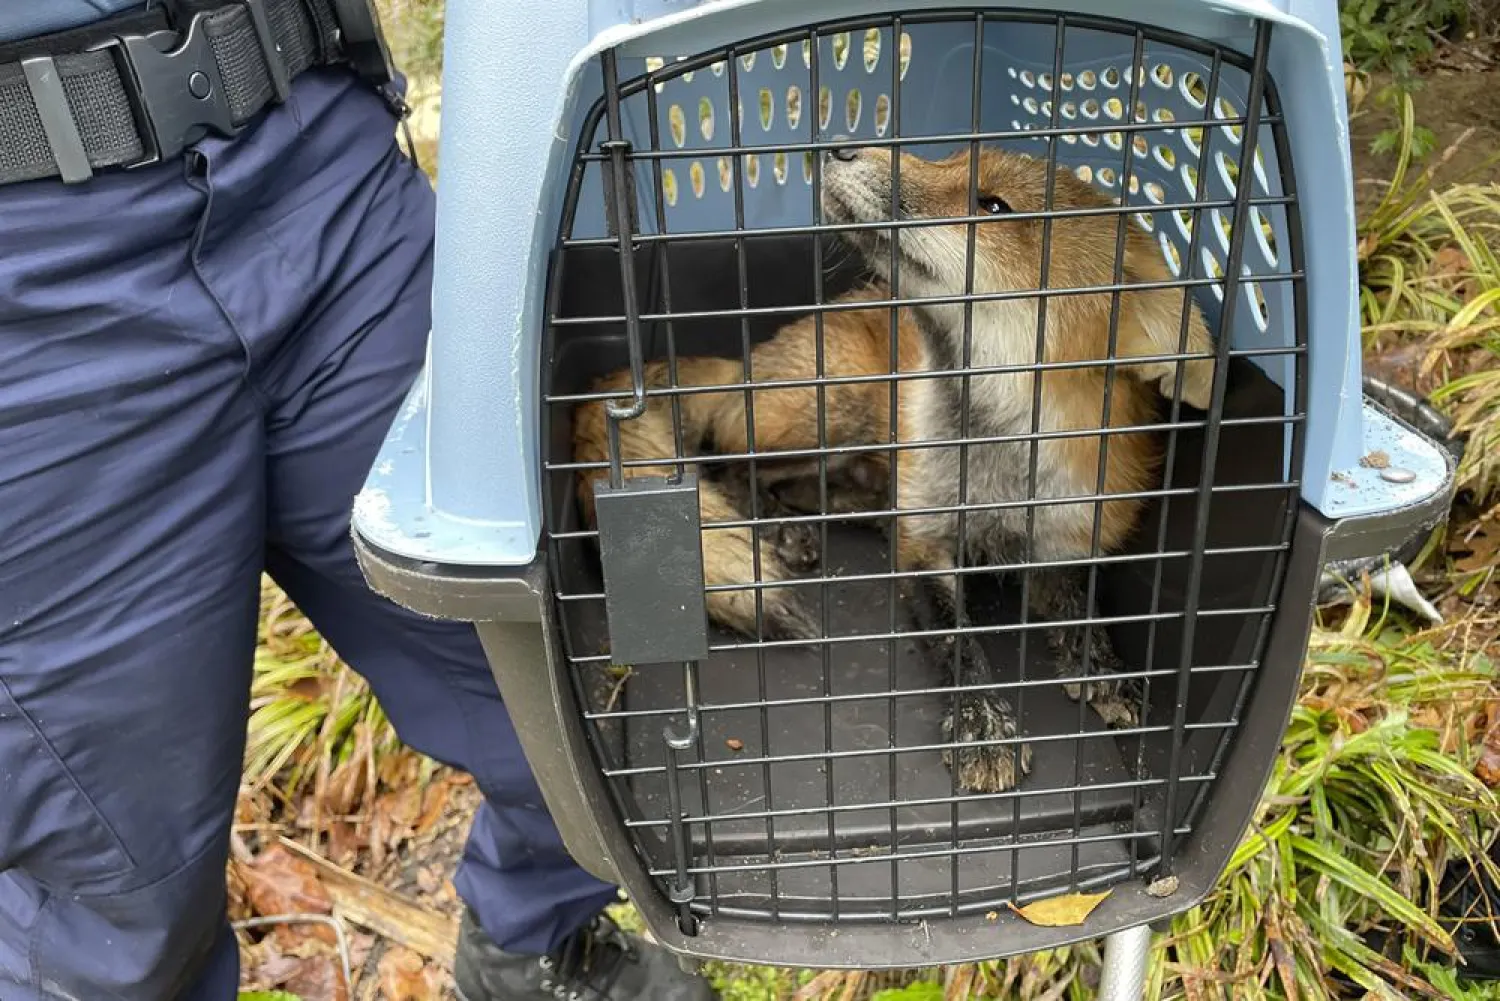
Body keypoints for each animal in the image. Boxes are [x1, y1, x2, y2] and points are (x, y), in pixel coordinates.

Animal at [572, 142, 1216, 795]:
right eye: (951, 158)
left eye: (994, 206)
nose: (841, 146)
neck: (996, 471)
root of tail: (746, 362)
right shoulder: (924, 545)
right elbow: (958, 639)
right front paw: (982, 724)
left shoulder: (1067, 535)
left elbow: (1083, 607)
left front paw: (1105, 667)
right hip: (834, 407)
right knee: (727, 461)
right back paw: (778, 528)